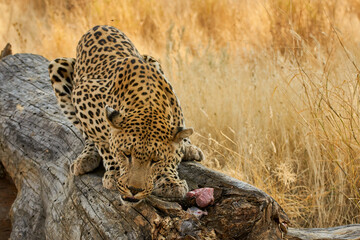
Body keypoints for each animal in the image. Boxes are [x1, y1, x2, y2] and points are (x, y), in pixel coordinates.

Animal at [48, 25, 204, 202]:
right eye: (126, 154)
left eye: (155, 160)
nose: (134, 190)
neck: (148, 104)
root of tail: (99, 26)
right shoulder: (82, 95)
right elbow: (103, 143)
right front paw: (115, 172)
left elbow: (172, 153)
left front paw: (170, 181)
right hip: (58, 66)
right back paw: (86, 158)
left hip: (154, 61)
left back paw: (189, 147)